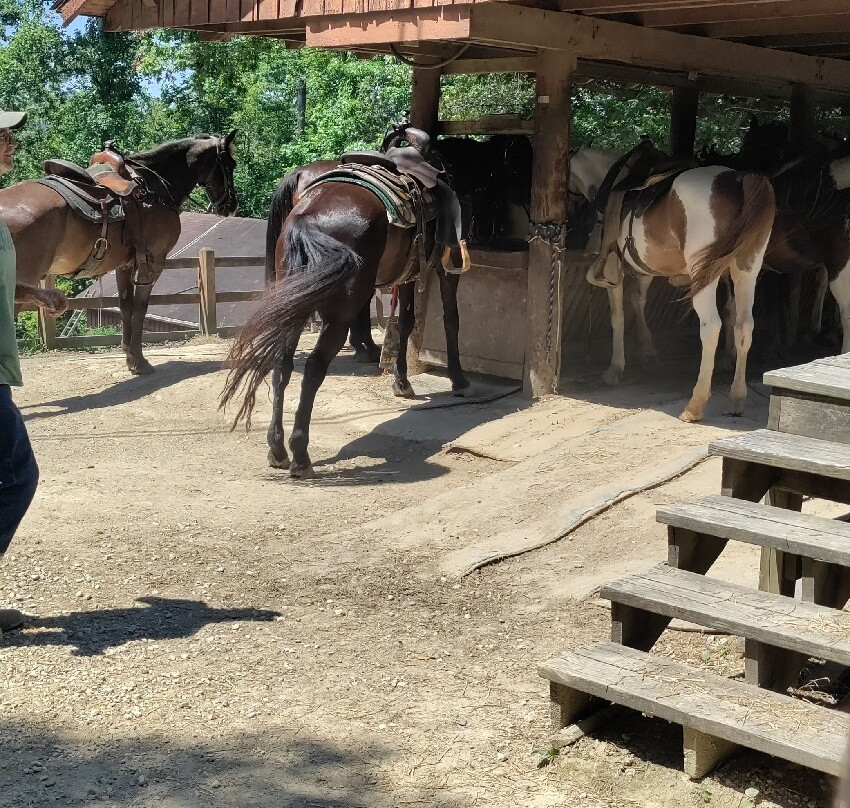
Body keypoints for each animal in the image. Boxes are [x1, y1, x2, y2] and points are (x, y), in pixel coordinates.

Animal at [4, 133, 238, 375]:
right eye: (231, 164)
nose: (232, 205)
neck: (155, 188)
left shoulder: (124, 266)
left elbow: (126, 307)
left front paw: (130, 357)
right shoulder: (153, 264)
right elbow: (140, 308)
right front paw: (141, 361)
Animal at [220, 144, 471, 479]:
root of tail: (306, 219)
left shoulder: (409, 273)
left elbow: (406, 322)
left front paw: (401, 381)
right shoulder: (446, 266)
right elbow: (450, 319)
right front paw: (458, 379)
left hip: (294, 306)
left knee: (282, 366)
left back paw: (277, 450)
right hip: (336, 315)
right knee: (314, 368)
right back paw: (301, 455)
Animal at [571, 146, 776, 422]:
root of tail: (739, 179)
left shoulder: (615, 269)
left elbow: (618, 318)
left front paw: (615, 368)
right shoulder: (644, 268)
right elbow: (638, 300)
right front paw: (647, 349)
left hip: (706, 275)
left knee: (711, 326)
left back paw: (695, 404)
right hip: (746, 272)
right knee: (743, 327)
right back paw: (736, 398)